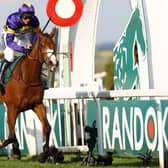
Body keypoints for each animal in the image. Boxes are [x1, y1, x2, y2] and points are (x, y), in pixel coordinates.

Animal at [0, 27, 58, 161]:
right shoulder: (12, 108)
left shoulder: (37, 104)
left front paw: (44, 154)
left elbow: (47, 127)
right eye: (42, 45)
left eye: (54, 45)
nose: (53, 62)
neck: (27, 78)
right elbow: (11, 135)